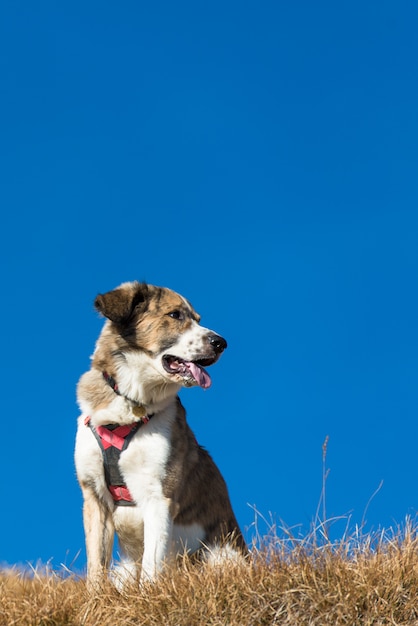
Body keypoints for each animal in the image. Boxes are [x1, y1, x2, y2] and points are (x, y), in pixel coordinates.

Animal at [74, 280, 247, 588]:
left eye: (198, 319)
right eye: (175, 315)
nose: (221, 343)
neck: (131, 402)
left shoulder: (159, 497)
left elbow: (151, 566)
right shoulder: (94, 496)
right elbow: (96, 567)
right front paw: (95, 599)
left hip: (220, 557)